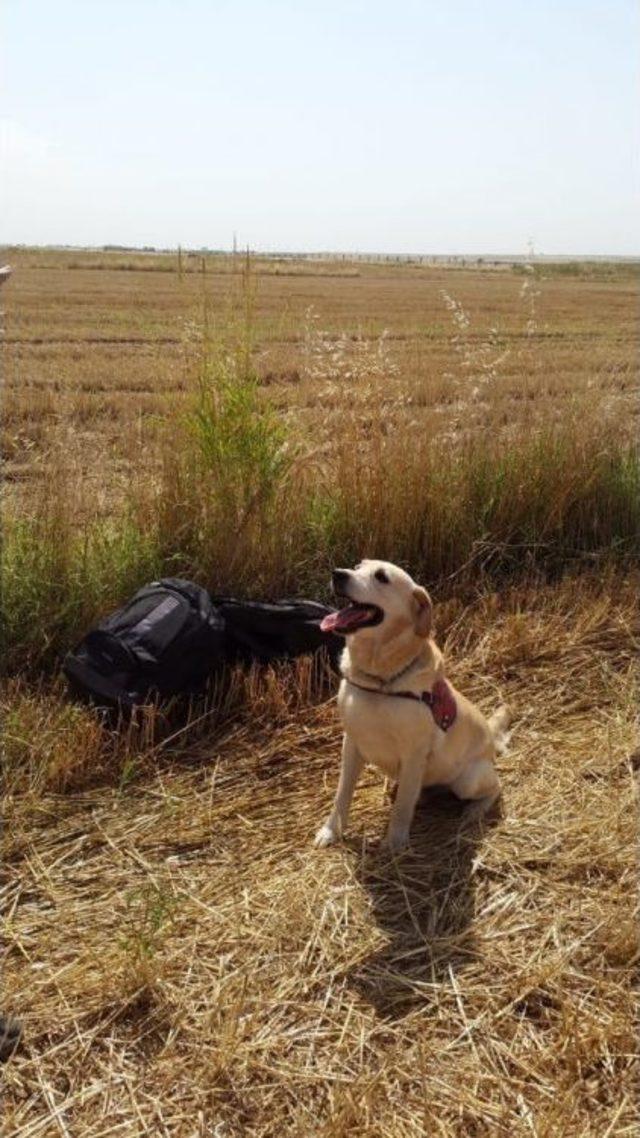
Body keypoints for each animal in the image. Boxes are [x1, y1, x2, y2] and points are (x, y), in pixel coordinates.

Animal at [314, 555, 507, 851]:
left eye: (381, 577)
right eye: (358, 567)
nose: (338, 574)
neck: (380, 680)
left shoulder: (414, 754)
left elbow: (403, 806)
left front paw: (394, 844)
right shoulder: (352, 743)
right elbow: (342, 794)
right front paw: (331, 831)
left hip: (468, 779)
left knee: (496, 788)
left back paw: (473, 810)